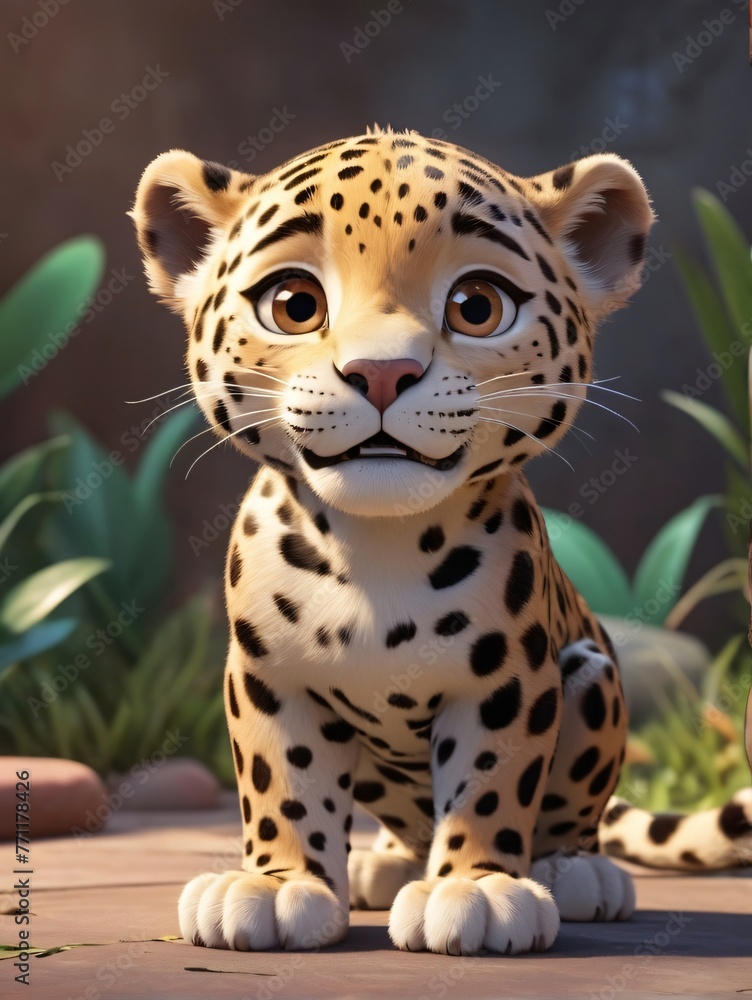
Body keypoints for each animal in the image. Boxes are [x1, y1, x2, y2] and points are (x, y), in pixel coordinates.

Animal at [131, 127, 752, 956]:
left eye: (478, 306)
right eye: (294, 305)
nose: (381, 372)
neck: (375, 548)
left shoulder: (507, 679)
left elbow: (491, 782)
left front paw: (477, 892)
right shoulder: (267, 676)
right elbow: (281, 782)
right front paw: (277, 887)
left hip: (592, 678)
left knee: (575, 817)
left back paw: (571, 873)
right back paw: (386, 864)